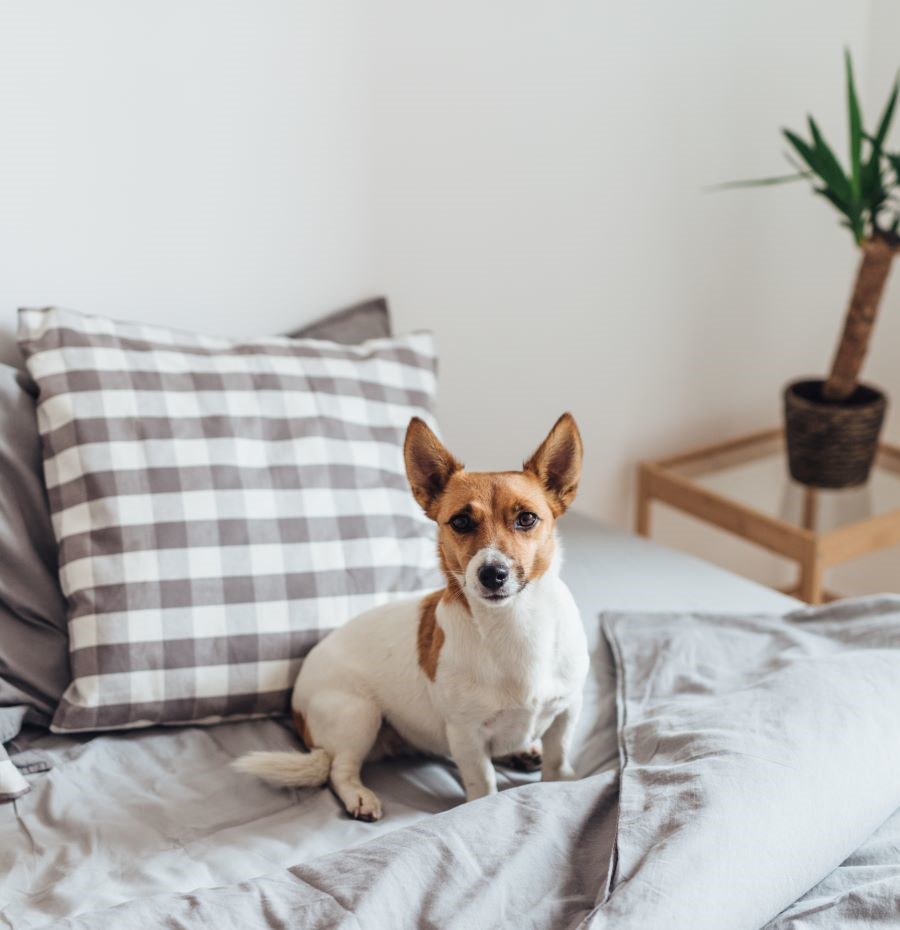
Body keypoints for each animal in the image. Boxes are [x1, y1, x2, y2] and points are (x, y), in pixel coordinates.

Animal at [234, 414, 592, 820]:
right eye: (461, 522)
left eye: (527, 519)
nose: (492, 573)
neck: (514, 624)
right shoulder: (465, 734)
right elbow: (482, 784)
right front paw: (483, 804)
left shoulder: (567, 711)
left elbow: (558, 757)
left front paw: (561, 781)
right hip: (358, 714)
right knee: (339, 770)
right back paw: (359, 796)